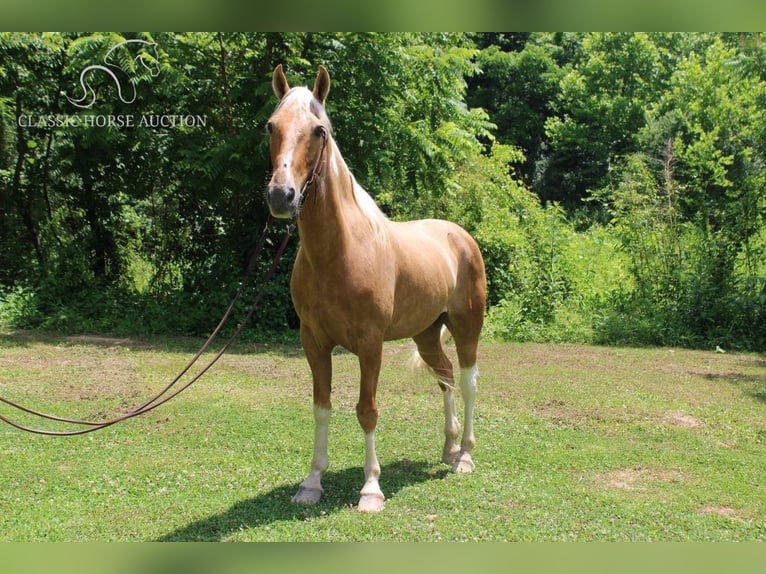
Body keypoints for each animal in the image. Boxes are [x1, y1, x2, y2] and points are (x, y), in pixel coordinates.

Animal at [268, 65, 488, 516]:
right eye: (271, 126)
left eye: (319, 130)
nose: (281, 195)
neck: (341, 252)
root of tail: (459, 236)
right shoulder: (313, 342)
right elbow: (321, 407)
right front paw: (311, 483)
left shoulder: (370, 344)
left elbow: (367, 410)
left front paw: (371, 488)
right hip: (427, 335)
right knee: (445, 378)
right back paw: (448, 449)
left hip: (466, 328)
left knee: (467, 383)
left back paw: (465, 456)